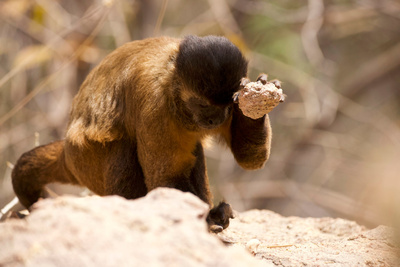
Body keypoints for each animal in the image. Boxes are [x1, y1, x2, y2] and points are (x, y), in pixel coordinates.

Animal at [13, 35, 276, 232]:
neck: (171, 80)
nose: (216, 119)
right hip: (86, 164)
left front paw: (256, 103)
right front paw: (209, 219)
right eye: (202, 105)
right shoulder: (154, 102)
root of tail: (68, 153)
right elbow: (164, 177)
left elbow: (249, 159)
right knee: (123, 147)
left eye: (227, 106)